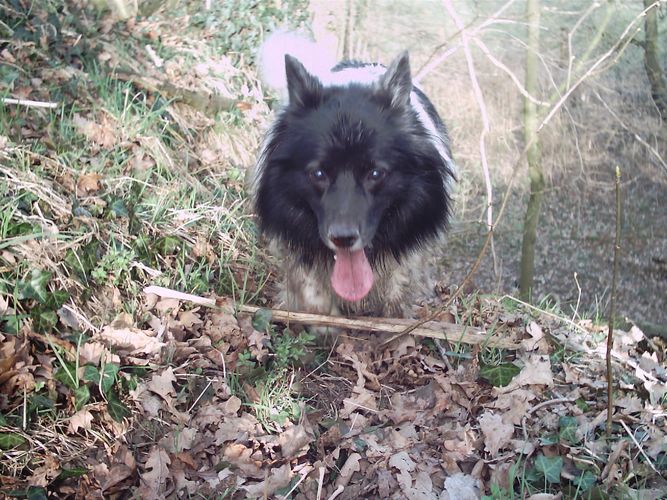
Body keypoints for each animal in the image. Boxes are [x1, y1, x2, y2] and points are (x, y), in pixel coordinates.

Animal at [250, 34, 454, 316]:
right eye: (318, 173)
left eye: (376, 173)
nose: (343, 238)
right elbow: (313, 296)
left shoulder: (406, 259)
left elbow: (396, 296)